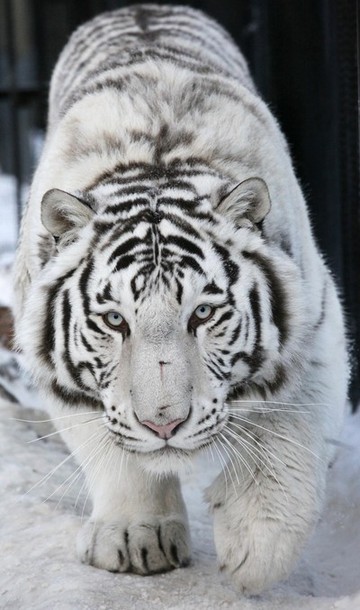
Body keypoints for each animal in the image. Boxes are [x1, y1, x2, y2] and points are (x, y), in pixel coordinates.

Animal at [14, 3, 348, 592]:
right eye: (114, 321)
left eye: (204, 313)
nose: (164, 425)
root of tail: (142, 7)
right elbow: (112, 449)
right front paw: (135, 537)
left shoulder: (316, 328)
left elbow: (291, 439)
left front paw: (254, 544)